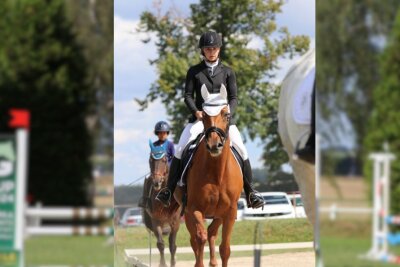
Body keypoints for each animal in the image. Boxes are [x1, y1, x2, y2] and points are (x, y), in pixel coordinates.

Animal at [177, 86, 242, 267]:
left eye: (226, 114)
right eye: (204, 116)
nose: (214, 145)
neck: (216, 173)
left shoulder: (230, 211)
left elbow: (225, 248)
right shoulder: (194, 208)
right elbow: (200, 238)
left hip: (218, 213)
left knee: (212, 232)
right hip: (188, 213)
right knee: (196, 239)